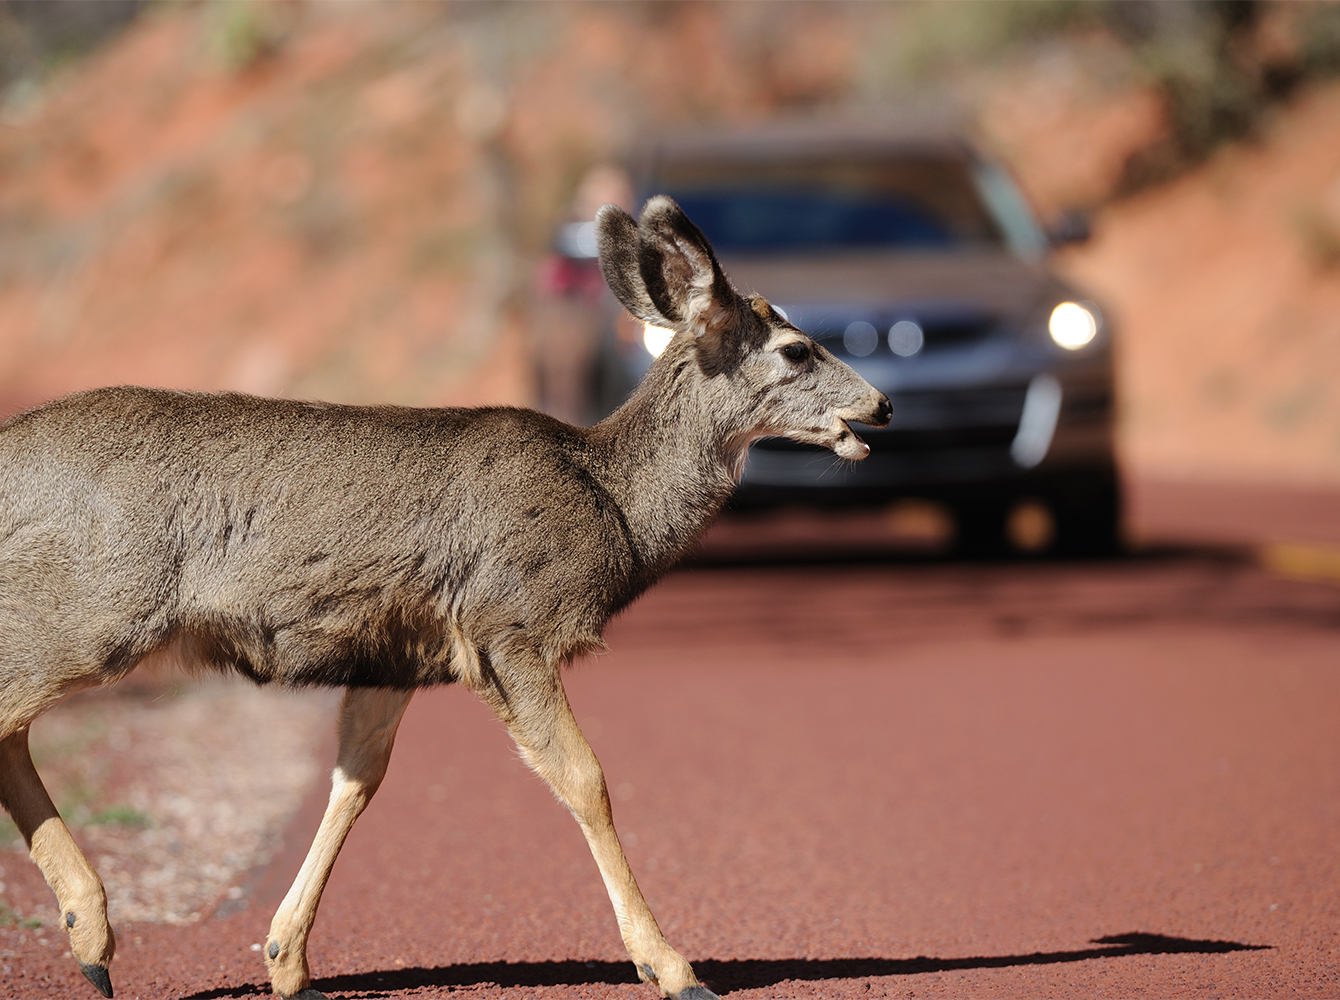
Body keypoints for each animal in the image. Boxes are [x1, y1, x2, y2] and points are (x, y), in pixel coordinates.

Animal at [0, 196, 891, 1000]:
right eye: (797, 350)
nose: (880, 404)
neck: (611, 503)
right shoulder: (509, 622)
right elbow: (586, 778)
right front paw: (671, 967)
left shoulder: (394, 655)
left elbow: (356, 781)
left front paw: (287, 961)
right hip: (89, 607)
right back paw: (93, 934)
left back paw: (91, 936)